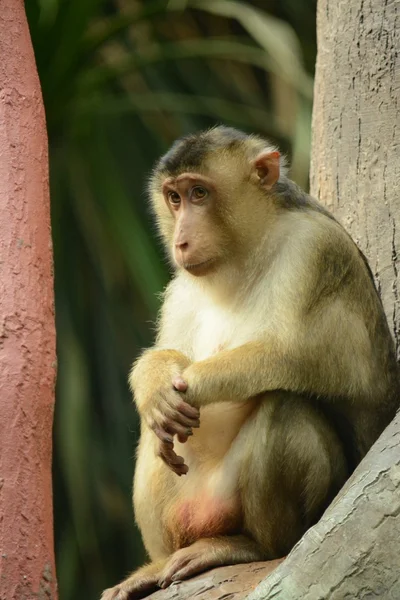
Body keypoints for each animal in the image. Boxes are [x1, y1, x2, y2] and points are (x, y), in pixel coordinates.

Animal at [101, 124, 398, 596]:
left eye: (200, 193)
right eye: (174, 198)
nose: (181, 238)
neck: (246, 253)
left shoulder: (315, 251)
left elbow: (286, 355)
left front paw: (190, 385)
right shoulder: (181, 289)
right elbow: (166, 362)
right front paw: (153, 379)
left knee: (283, 405)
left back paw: (255, 546)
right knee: (155, 432)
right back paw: (157, 564)